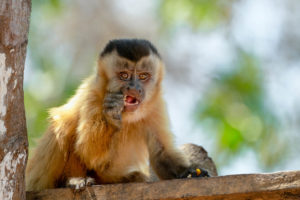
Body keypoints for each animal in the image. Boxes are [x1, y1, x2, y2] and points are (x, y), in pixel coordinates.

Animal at [25, 38, 209, 191]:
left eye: (143, 76)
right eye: (124, 75)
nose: (134, 87)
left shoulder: (156, 105)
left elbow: (161, 153)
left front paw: (188, 173)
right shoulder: (93, 95)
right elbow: (88, 151)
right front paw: (111, 116)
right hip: (40, 177)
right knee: (64, 125)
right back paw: (71, 180)